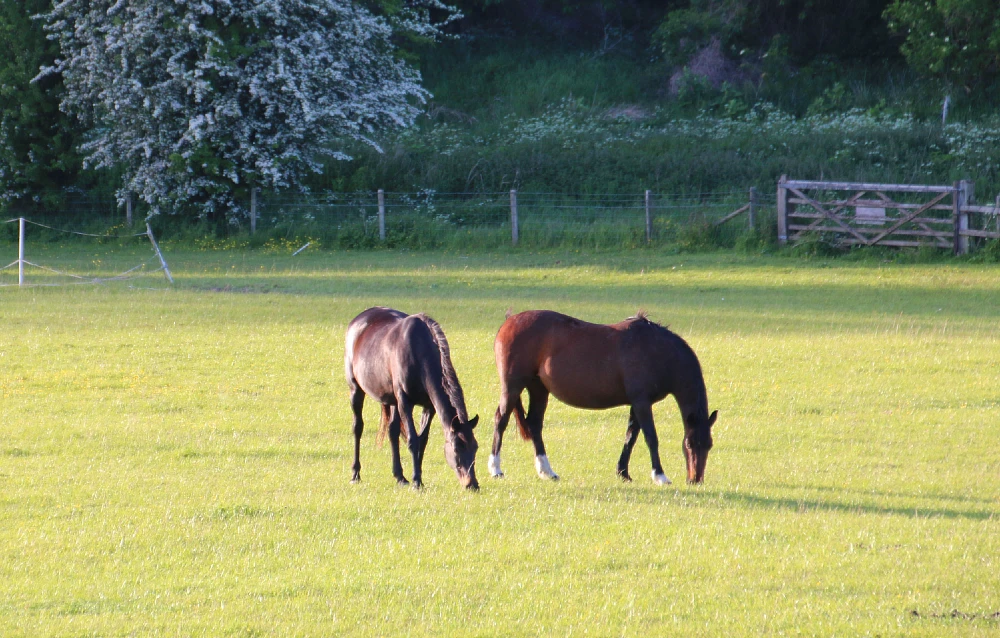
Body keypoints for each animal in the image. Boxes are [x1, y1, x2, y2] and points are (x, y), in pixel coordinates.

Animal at [344, 307, 479, 490]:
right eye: (457, 447)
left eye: (476, 447)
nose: (472, 484)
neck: (420, 351)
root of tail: (358, 320)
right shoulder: (405, 402)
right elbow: (413, 439)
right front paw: (416, 480)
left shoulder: (429, 406)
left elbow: (422, 440)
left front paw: (418, 477)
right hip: (356, 390)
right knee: (358, 427)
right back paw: (355, 473)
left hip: (392, 401)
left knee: (392, 431)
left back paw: (400, 476)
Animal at [489, 310, 717, 485]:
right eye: (689, 444)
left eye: (709, 445)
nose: (695, 480)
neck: (657, 350)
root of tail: (510, 320)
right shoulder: (642, 403)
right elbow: (650, 437)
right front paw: (659, 476)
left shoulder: (637, 404)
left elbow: (631, 437)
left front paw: (623, 473)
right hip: (513, 387)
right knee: (501, 420)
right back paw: (495, 469)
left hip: (538, 389)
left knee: (535, 425)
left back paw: (547, 471)